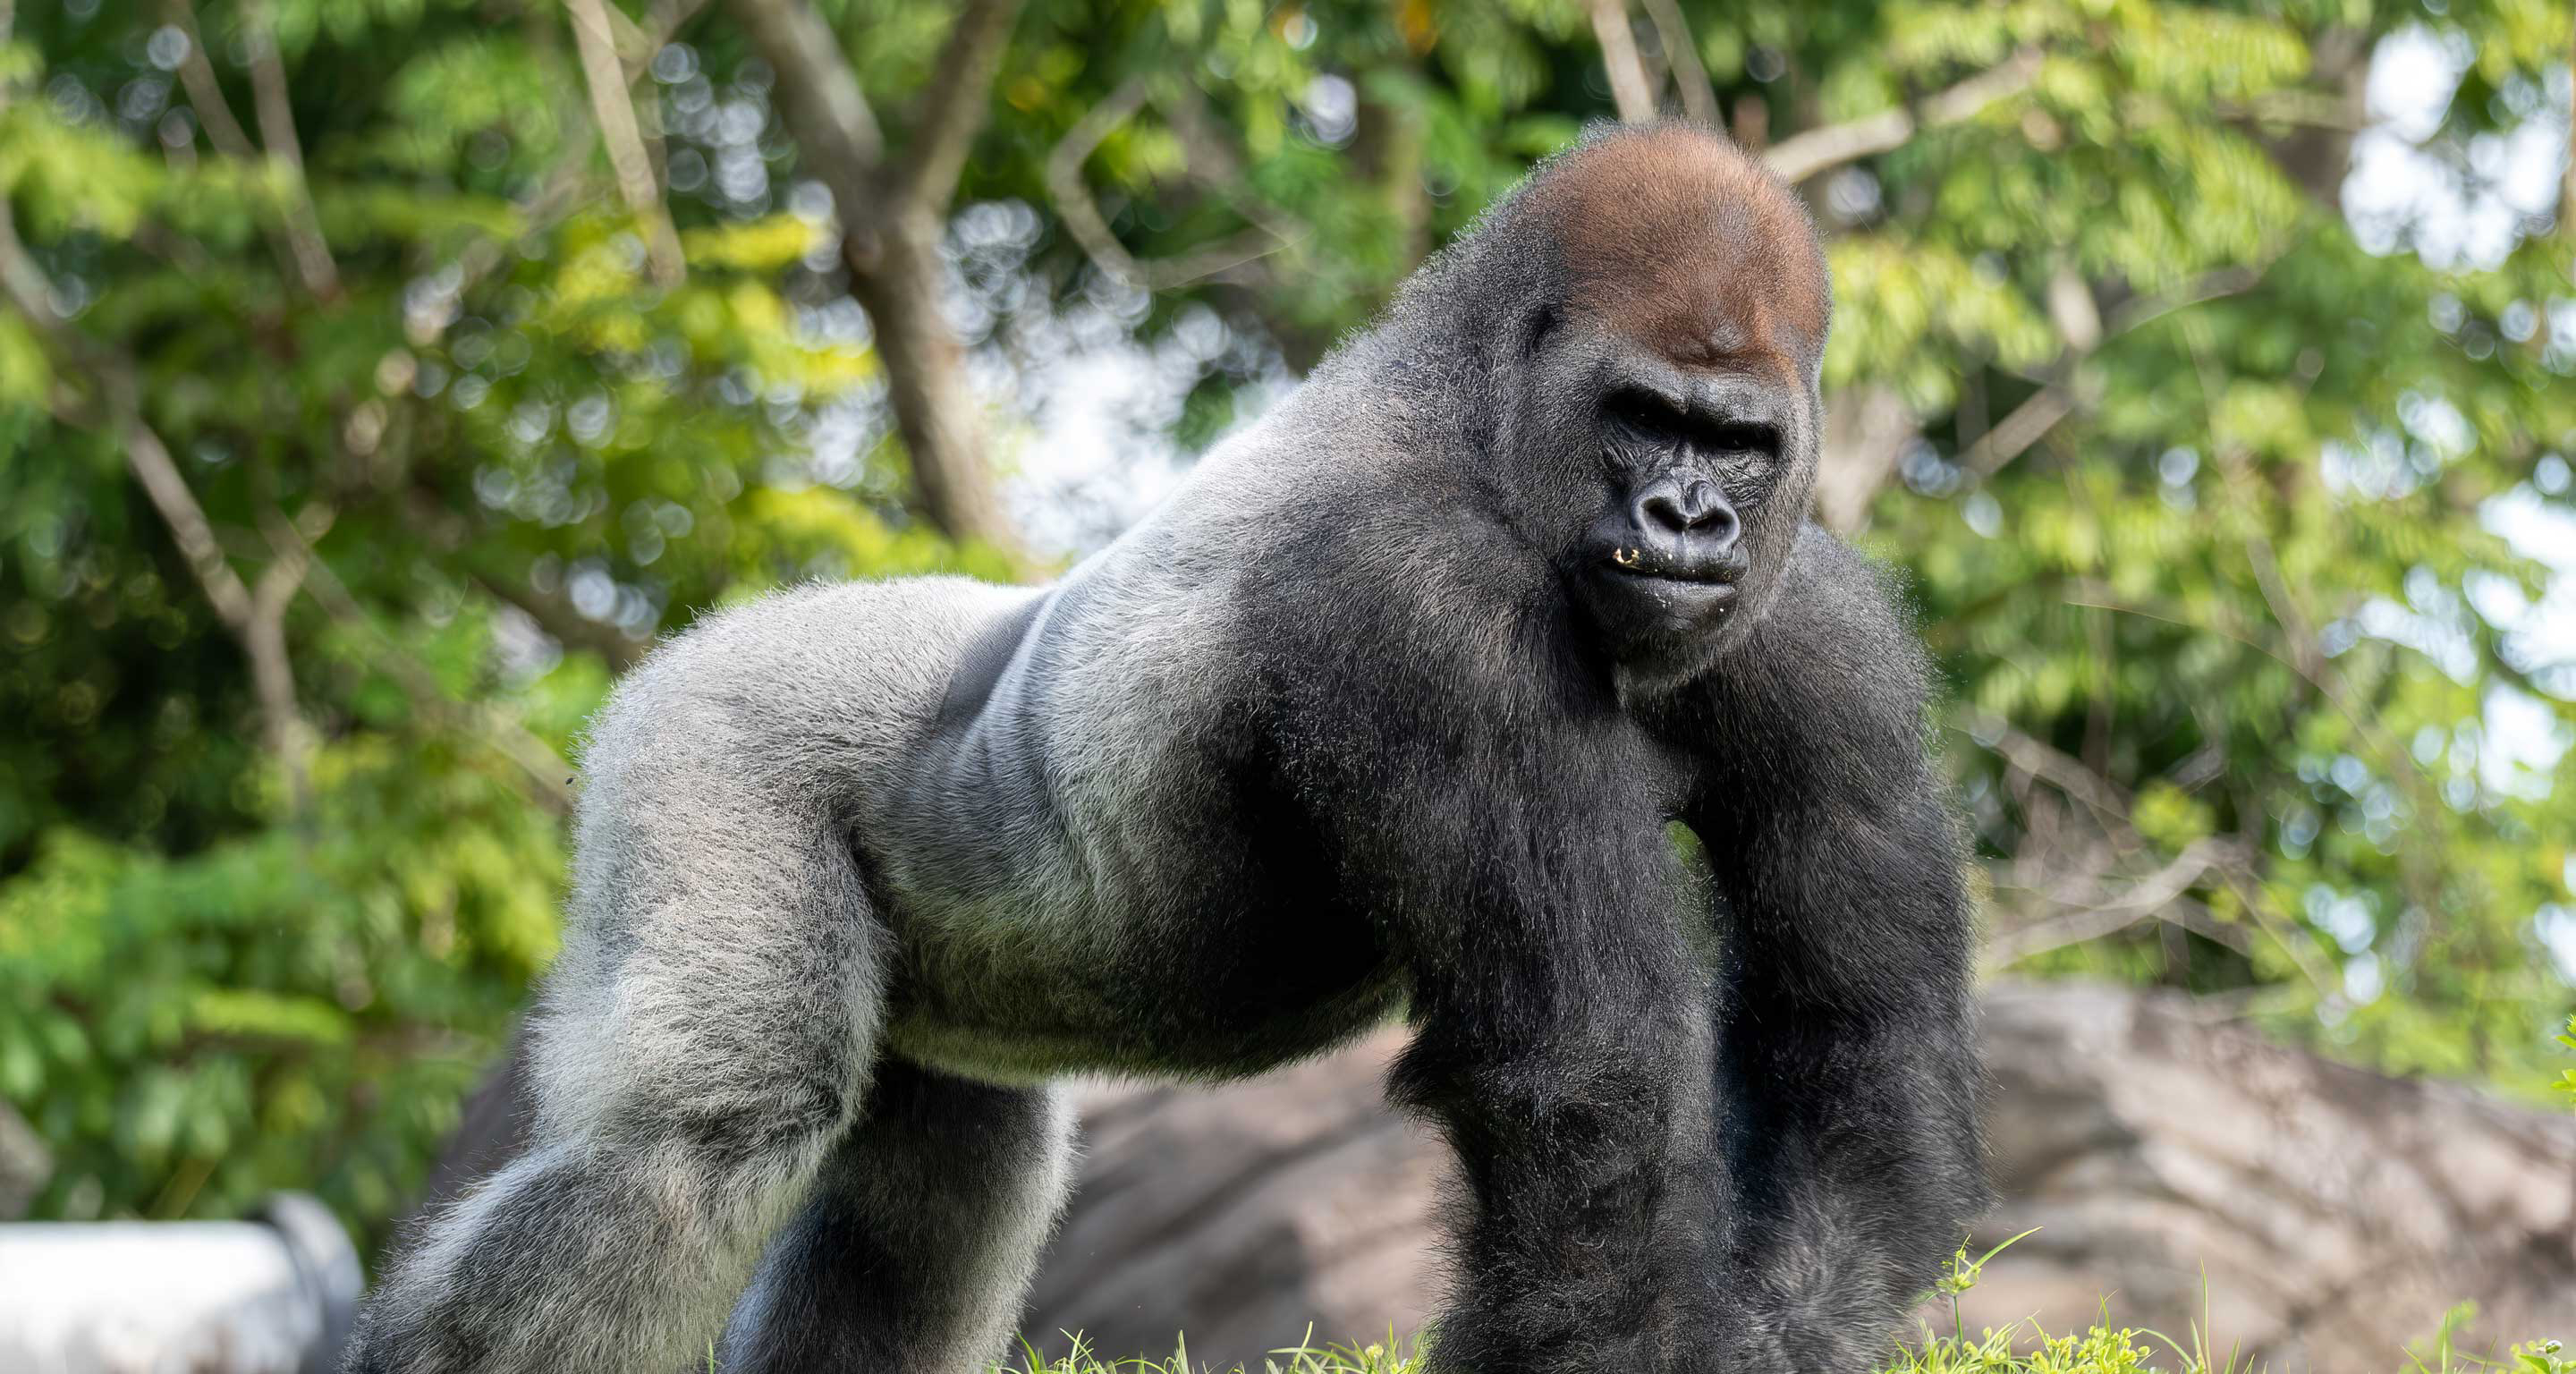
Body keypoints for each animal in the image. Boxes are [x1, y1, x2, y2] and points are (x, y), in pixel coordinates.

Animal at [344, 122, 1988, 1374]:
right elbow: (1589, 1085)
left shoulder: (1818, 624)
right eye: (1644, 415)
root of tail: (715, 636)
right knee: (693, 1150)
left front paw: (1794, 1336)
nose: (1688, 521)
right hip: (707, 733)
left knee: (942, 1183)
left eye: (1740, 445)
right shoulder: (1422, 605)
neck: (1468, 405)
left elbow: (1850, 1035)